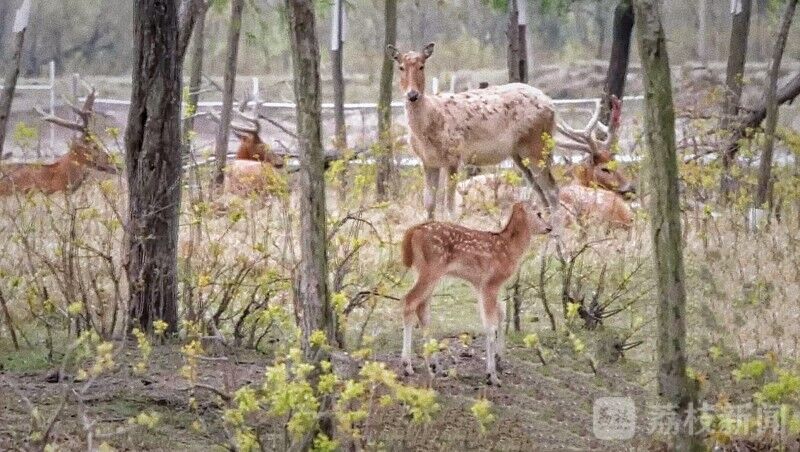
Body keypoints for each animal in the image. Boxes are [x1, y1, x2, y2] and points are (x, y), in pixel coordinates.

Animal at [390, 43, 560, 220]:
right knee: (539, 189)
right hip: (519, 154)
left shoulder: (454, 156)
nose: (412, 94)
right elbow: (429, 204)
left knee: (552, 189)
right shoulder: (428, 161)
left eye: (421, 66)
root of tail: (551, 105)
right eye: (401, 67)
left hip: (537, 145)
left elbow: (450, 205)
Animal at [398, 201, 552, 384]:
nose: (549, 228)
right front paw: (492, 375)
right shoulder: (490, 283)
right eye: (539, 213)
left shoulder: (480, 285)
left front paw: (499, 359)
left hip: (422, 270)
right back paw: (407, 366)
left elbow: (500, 314)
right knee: (409, 301)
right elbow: (490, 326)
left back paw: (435, 366)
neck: (509, 249)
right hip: (432, 268)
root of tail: (413, 231)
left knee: (422, 308)